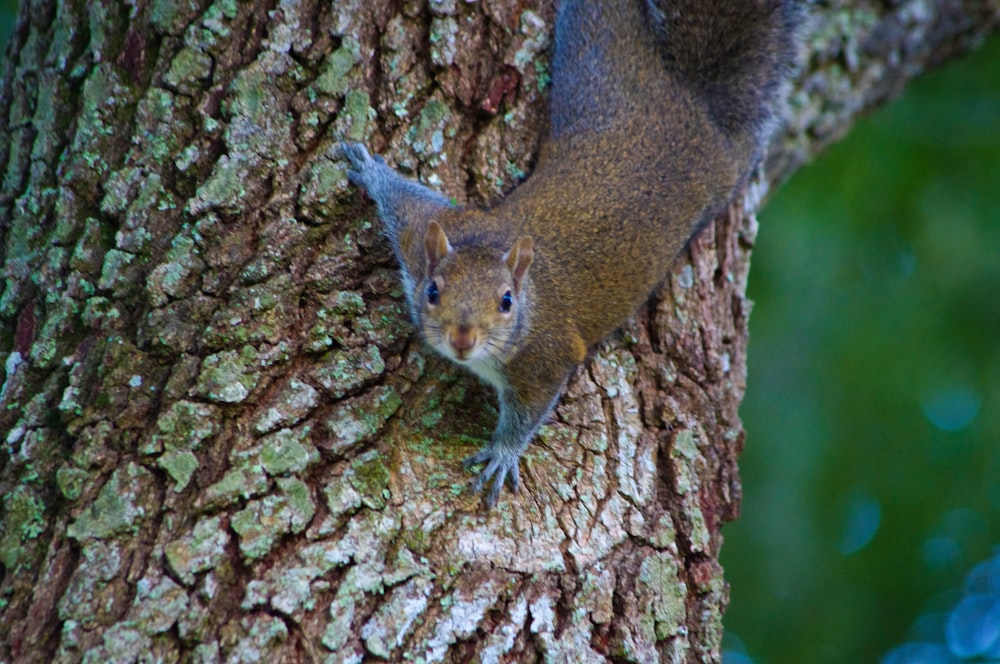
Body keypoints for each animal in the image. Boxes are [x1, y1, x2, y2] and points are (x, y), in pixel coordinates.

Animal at [342, 0, 796, 506]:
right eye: (433, 292)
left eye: (506, 301)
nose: (462, 339)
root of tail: (692, 108)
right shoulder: (423, 233)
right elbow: (404, 201)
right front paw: (369, 169)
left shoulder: (546, 358)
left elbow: (528, 413)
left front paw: (502, 454)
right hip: (601, 67)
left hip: (691, 146)